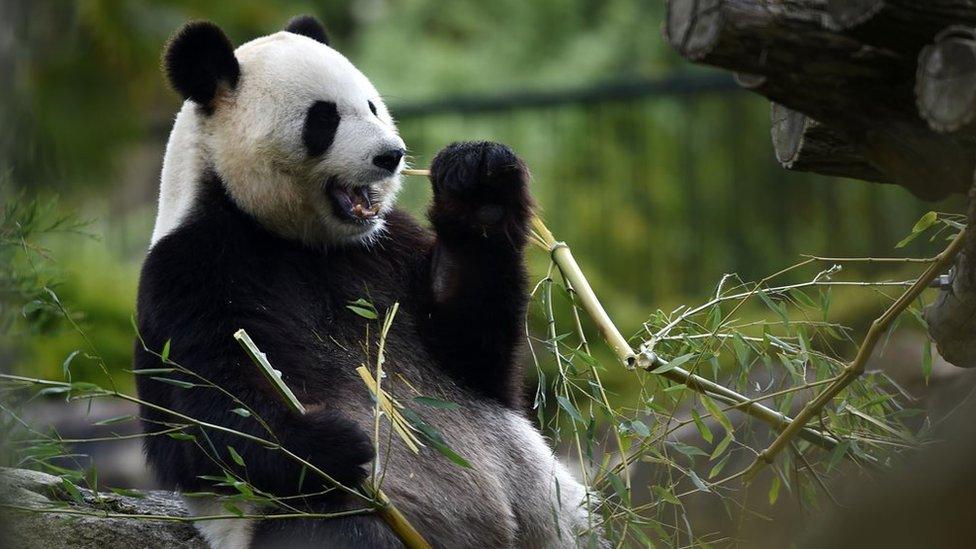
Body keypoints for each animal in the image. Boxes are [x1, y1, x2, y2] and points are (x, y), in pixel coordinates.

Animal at [133, 15, 600, 544]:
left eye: (373, 106)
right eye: (324, 118)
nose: (391, 155)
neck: (295, 238)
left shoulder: (384, 248)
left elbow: (475, 351)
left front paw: (479, 186)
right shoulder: (191, 272)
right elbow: (200, 419)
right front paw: (333, 443)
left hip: (552, 504)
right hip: (320, 518)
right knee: (345, 531)